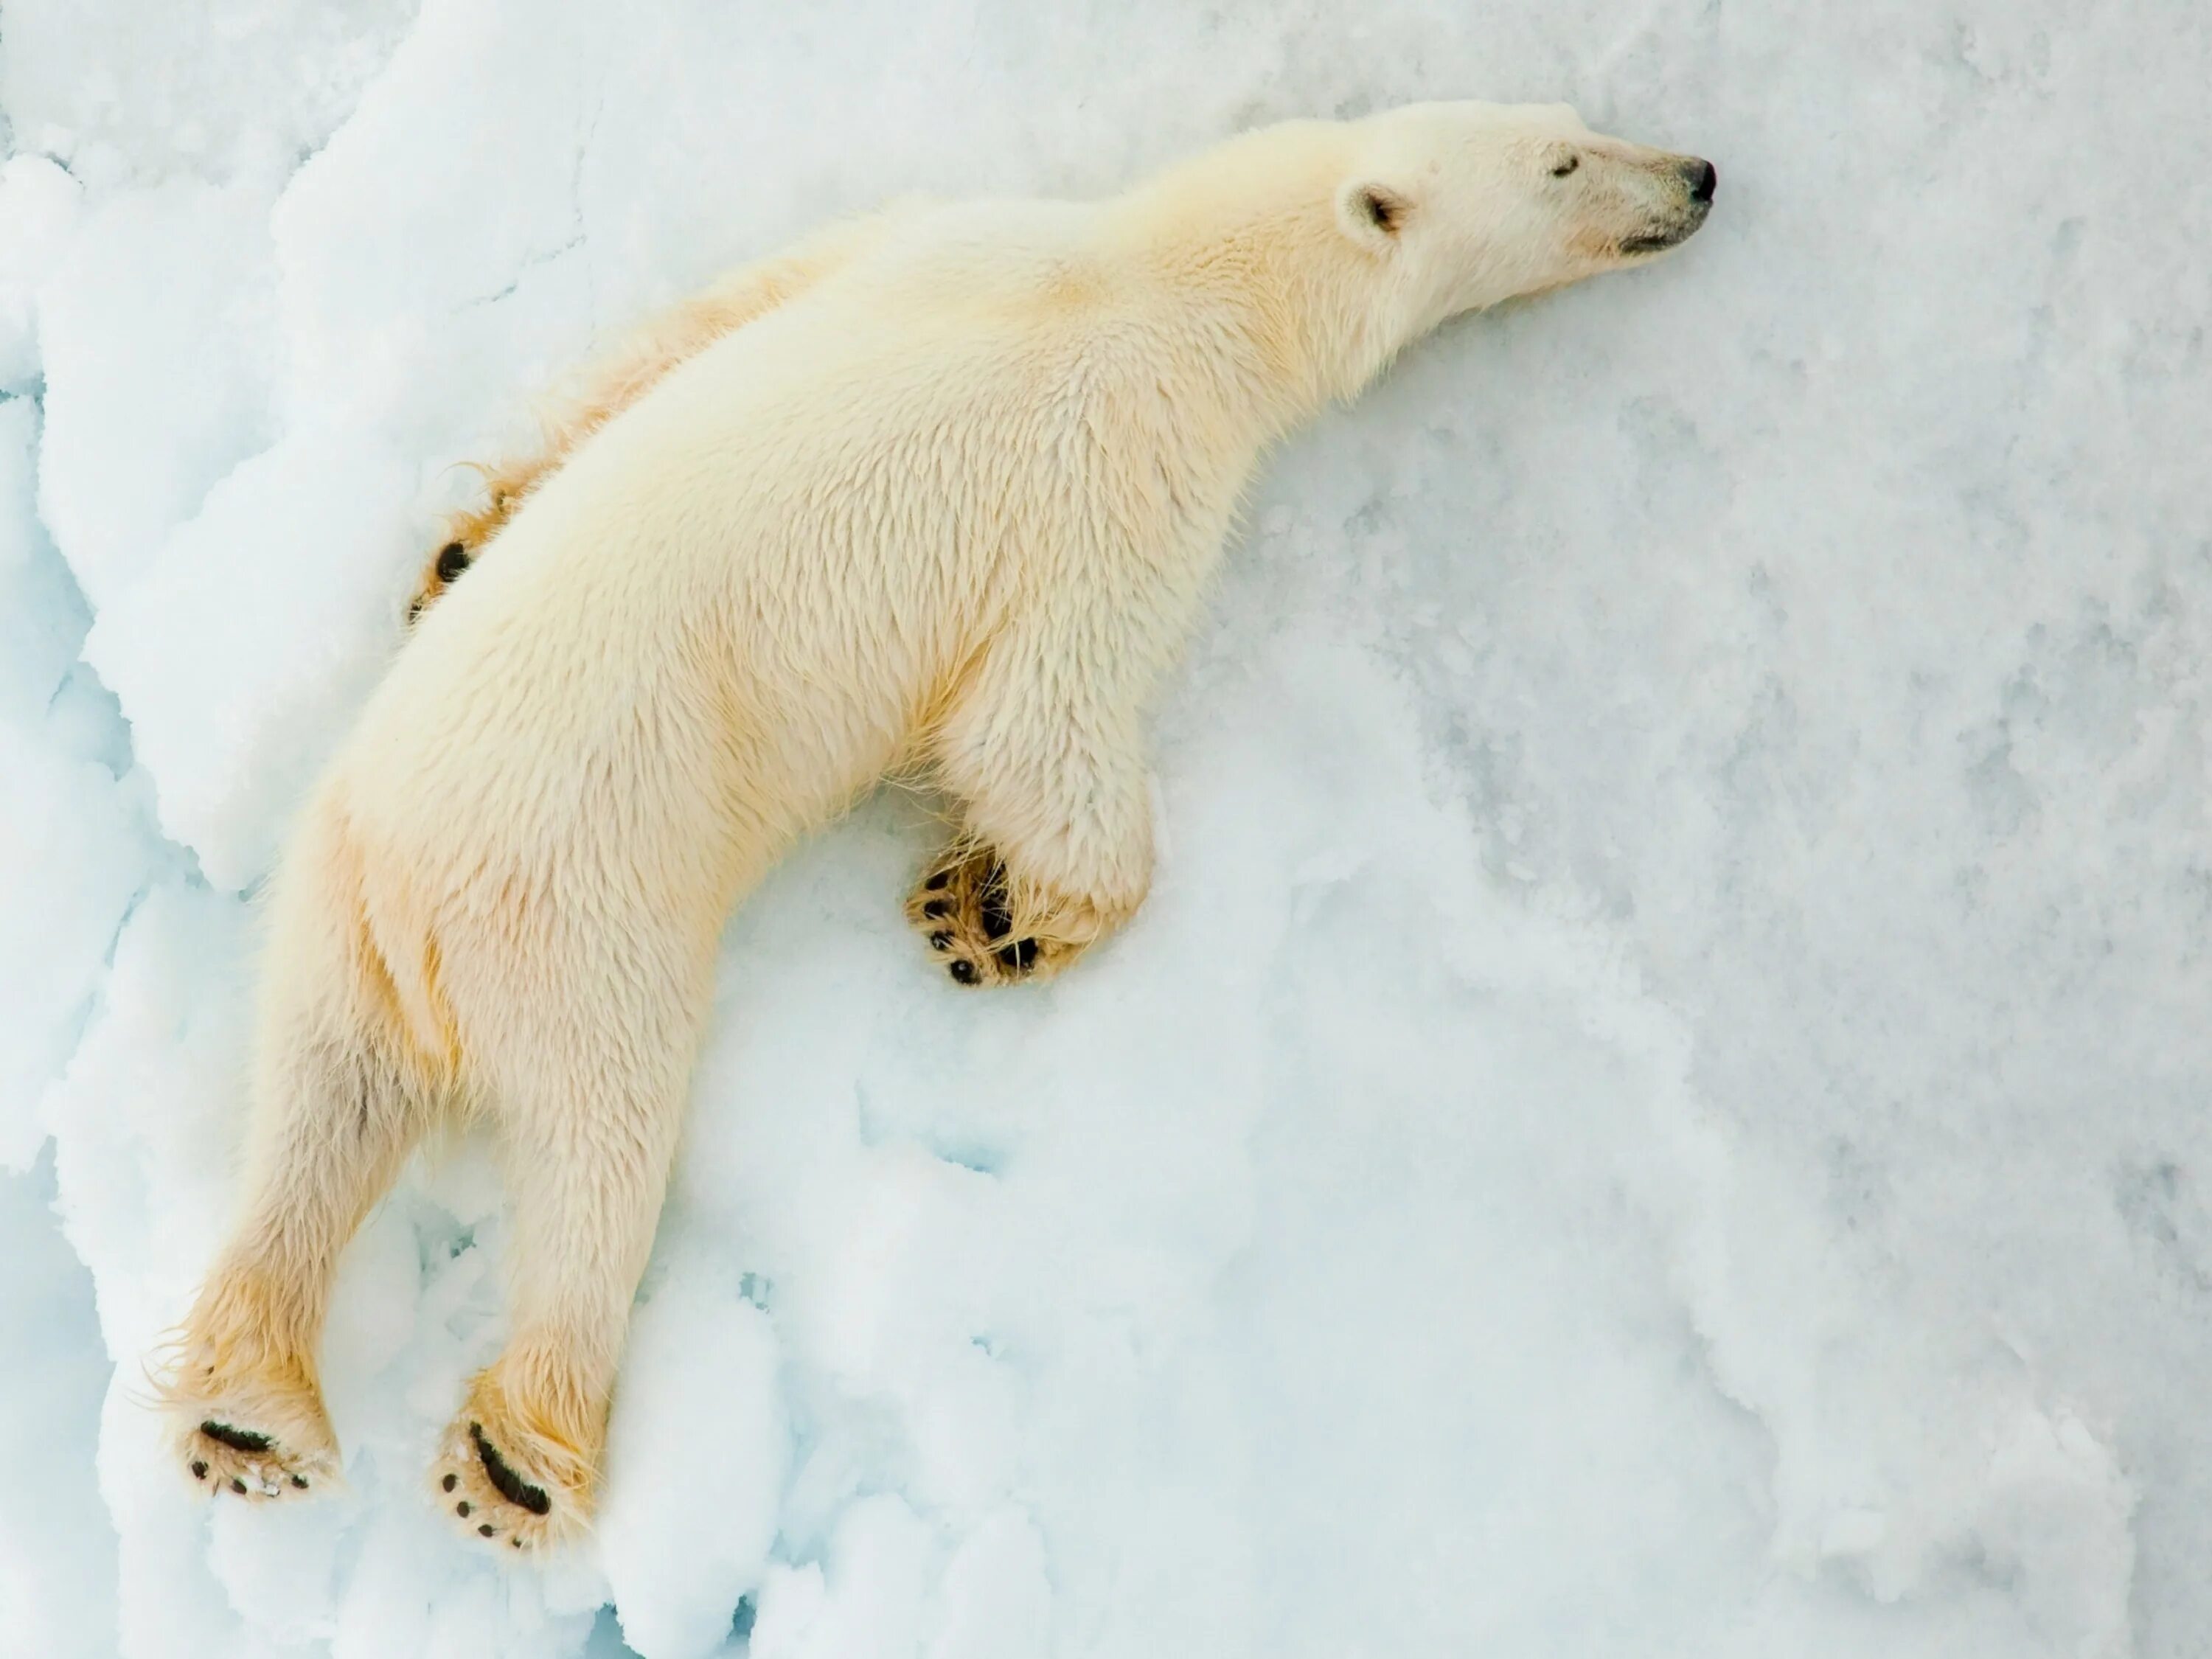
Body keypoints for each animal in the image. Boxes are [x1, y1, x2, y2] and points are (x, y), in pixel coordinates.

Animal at [164, 104, 1717, 1557]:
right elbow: (1041, 721)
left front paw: (463, 541)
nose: (1699, 177)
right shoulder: (1128, 470)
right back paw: (518, 1459)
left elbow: (696, 326)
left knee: (317, 1106)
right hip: (590, 919)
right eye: (1568, 162)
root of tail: (427, 918)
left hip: (336, 900)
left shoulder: (920, 234)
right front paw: (993, 917)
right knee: (601, 1147)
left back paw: (249, 1417)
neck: (1157, 275)